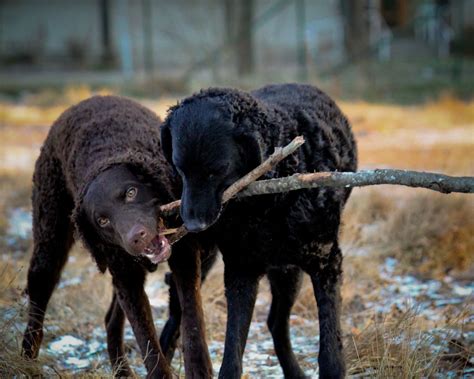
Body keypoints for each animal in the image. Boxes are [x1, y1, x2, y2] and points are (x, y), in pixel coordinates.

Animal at [21, 97, 216, 379]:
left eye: (131, 192)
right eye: (102, 220)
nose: (137, 237)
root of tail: (88, 99)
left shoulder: (185, 257)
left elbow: (192, 322)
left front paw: (199, 370)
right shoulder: (127, 278)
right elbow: (147, 340)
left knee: (111, 318)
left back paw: (122, 371)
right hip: (50, 236)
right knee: (39, 295)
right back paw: (27, 359)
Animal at [161, 84, 358, 379]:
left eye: (217, 170)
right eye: (180, 167)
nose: (194, 225)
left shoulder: (326, 262)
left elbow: (331, 350)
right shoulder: (241, 270)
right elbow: (232, 353)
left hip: (288, 270)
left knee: (276, 322)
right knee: (177, 313)